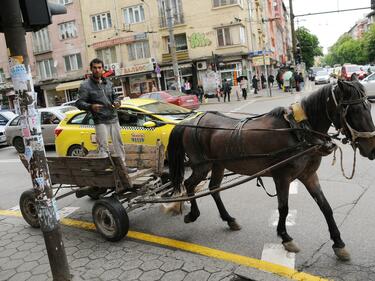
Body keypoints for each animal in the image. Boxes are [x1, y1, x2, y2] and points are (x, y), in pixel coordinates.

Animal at [169, 79, 375, 260]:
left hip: (218, 164)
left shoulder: (308, 175)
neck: (298, 130)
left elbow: (326, 207)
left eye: (368, 105)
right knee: (189, 185)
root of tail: (189, 121)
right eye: (354, 110)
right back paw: (193, 214)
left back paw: (229, 219)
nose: (371, 148)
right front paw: (285, 237)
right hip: (201, 165)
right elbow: (283, 208)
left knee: (214, 189)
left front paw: (338, 243)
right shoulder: (282, 177)